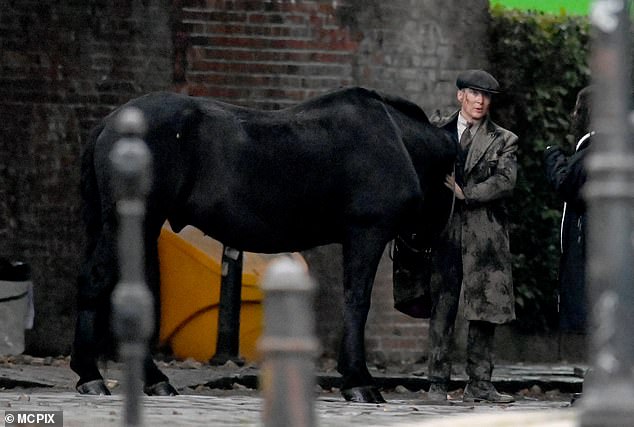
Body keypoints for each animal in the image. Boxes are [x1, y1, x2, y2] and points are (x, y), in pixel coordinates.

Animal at [71, 85, 454, 402]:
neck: (400, 140)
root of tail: (110, 123)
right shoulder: (366, 232)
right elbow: (357, 302)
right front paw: (359, 380)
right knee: (96, 282)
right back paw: (92, 375)